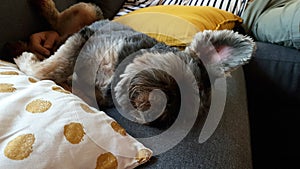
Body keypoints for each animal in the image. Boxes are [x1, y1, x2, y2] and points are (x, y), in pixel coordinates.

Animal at [13, 19, 253, 127]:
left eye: (180, 115)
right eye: (183, 78)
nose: (166, 107)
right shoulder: (84, 39)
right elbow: (51, 68)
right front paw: (26, 61)